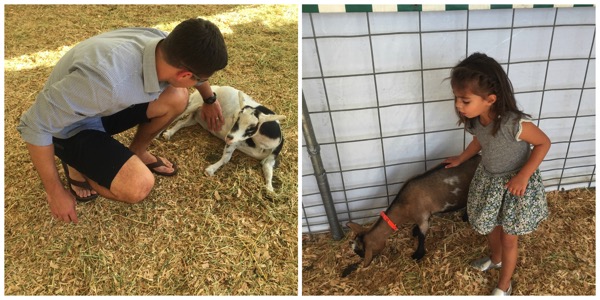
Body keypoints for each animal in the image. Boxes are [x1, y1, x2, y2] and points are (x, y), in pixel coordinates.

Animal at [344, 155, 480, 268]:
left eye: (361, 252)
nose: (362, 259)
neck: (404, 205)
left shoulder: (422, 217)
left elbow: (422, 236)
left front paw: (418, 254)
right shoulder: (425, 215)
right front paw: (414, 230)